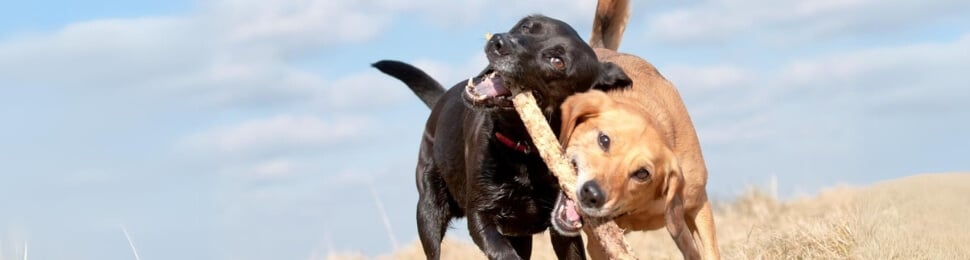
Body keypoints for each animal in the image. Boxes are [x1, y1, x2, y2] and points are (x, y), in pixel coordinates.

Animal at [370, 15, 628, 258]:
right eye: (525, 26)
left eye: (557, 61)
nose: (499, 42)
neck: (524, 150)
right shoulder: (480, 215)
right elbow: (502, 251)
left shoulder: (561, 228)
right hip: (429, 210)